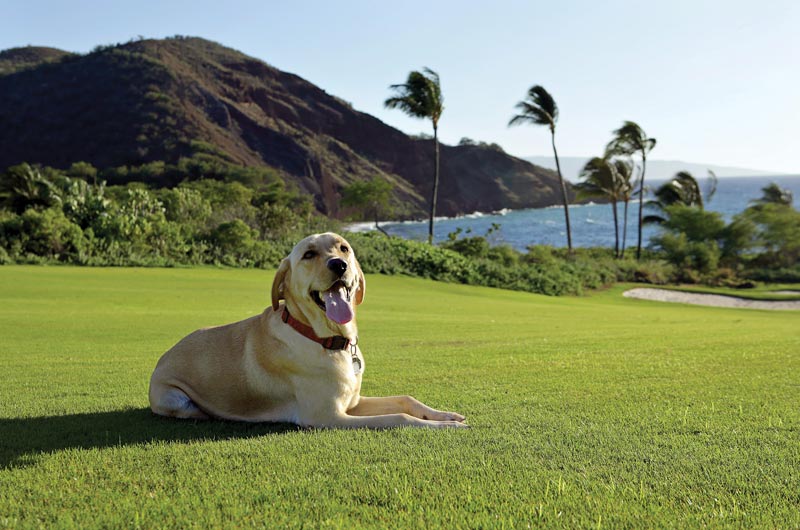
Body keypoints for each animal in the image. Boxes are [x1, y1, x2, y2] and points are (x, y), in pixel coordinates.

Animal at [148, 230, 468, 424]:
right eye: (309, 254)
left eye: (344, 248)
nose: (339, 265)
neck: (324, 339)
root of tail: (163, 356)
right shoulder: (329, 417)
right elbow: (400, 418)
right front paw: (445, 427)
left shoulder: (353, 403)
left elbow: (406, 399)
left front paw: (445, 416)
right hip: (174, 398)